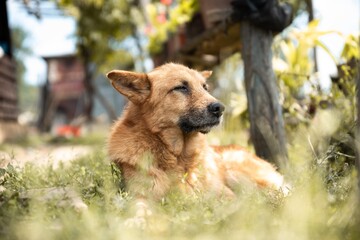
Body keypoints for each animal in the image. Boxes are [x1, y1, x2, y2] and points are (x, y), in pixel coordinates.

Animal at [105, 63, 286, 223]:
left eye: (205, 88)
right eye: (181, 88)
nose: (220, 108)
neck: (177, 156)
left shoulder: (226, 195)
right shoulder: (142, 196)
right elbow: (140, 208)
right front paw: (136, 221)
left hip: (240, 174)